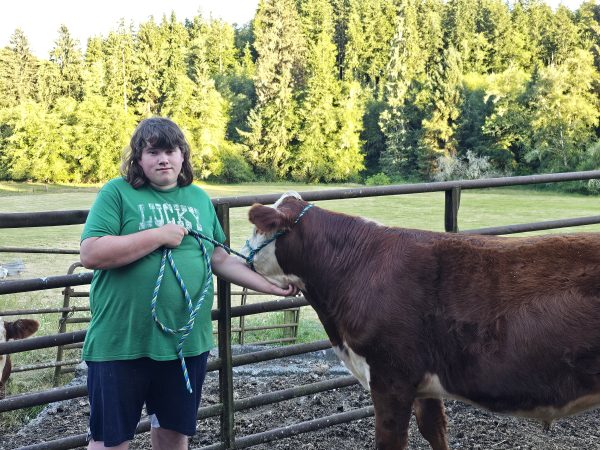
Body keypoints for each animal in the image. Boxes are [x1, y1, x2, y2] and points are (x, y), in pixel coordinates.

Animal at [244, 191, 600, 450]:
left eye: (257, 228)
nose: (242, 254)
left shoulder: (390, 377)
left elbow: (391, 441)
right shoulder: (423, 384)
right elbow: (435, 430)